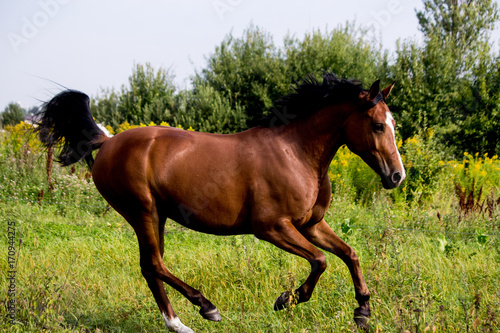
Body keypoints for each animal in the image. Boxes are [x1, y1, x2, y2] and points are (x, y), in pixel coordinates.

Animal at [37, 73, 406, 332]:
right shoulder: (272, 227)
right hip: (143, 212)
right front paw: (286, 300)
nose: (397, 176)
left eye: (393, 124)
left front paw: (362, 312)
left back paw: (180, 324)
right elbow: (320, 261)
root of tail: (108, 141)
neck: (296, 152)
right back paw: (206, 309)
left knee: (150, 267)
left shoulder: (311, 225)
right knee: (153, 264)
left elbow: (349, 254)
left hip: (156, 217)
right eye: (377, 125)